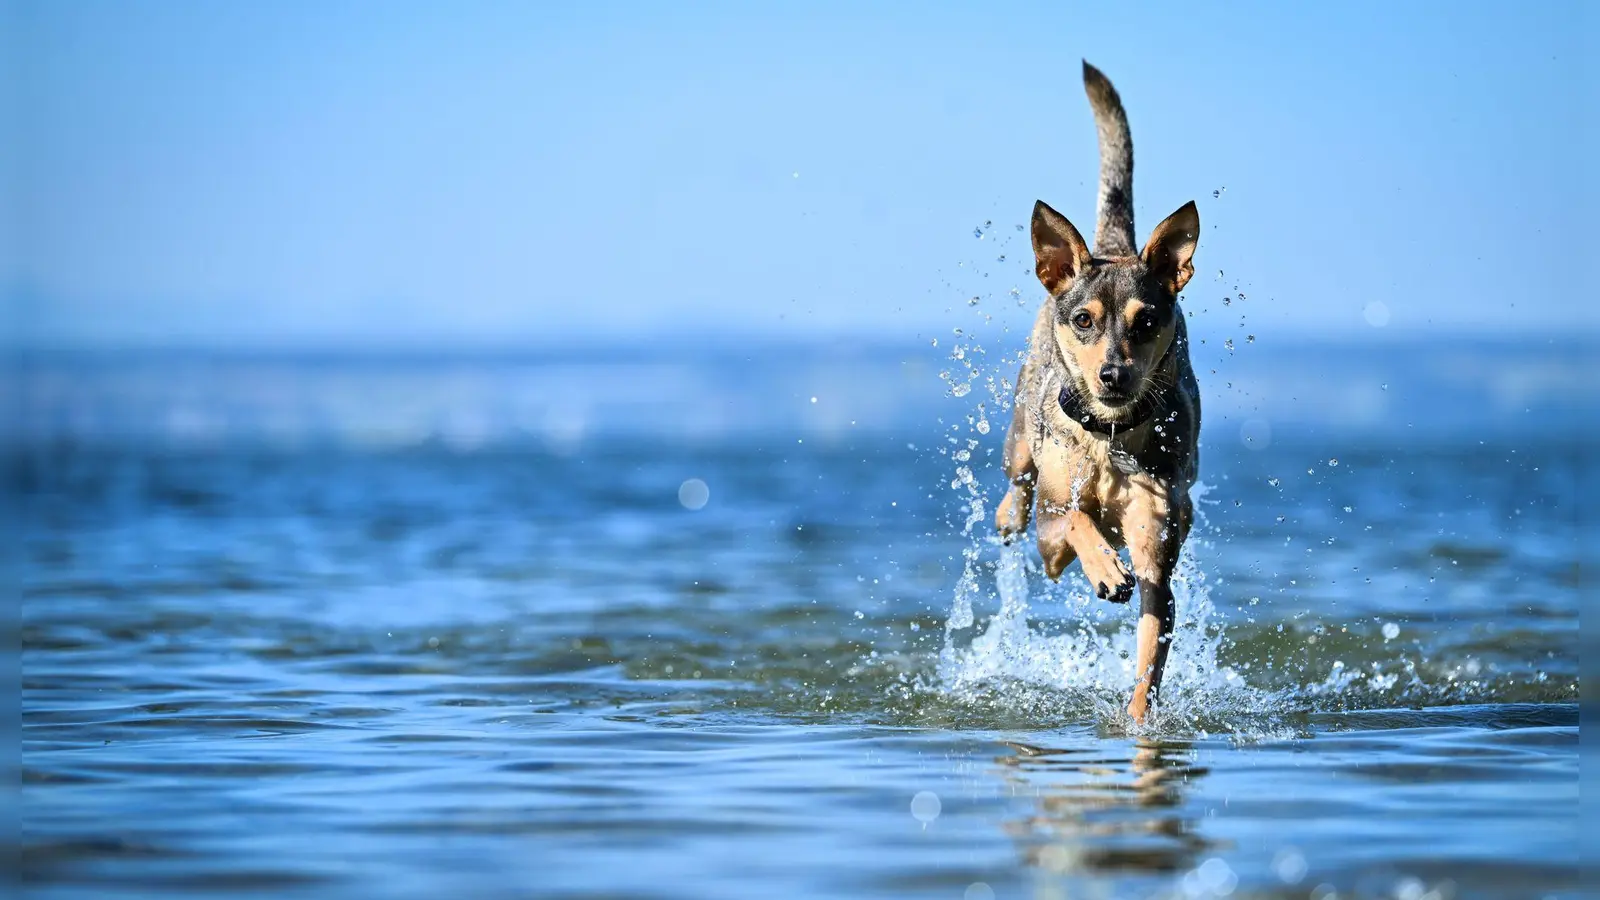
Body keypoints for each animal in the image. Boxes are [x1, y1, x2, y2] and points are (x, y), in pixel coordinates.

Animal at [998, 61, 1203, 720]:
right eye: (1084, 320)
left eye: (1147, 321)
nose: (1113, 376)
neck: (1108, 439)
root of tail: (1110, 245)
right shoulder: (1050, 539)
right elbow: (1071, 520)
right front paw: (1106, 571)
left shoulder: (1158, 545)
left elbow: (1150, 650)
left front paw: (1139, 720)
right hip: (1021, 425)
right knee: (1019, 478)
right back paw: (1008, 512)